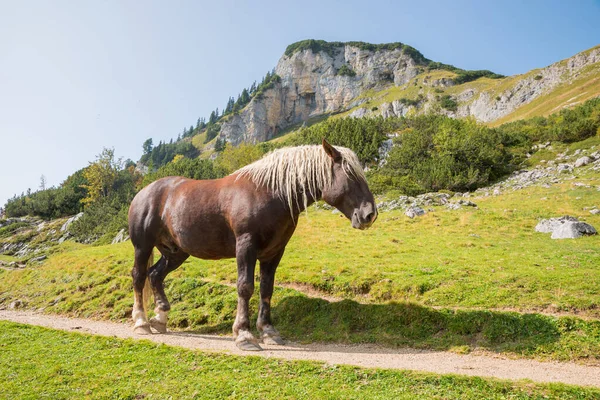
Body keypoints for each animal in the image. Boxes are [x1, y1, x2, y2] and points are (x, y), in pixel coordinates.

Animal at [129, 140, 378, 350]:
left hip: (175, 252)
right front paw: (244, 335)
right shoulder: (245, 246)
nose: (370, 214)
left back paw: (160, 319)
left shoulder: (274, 253)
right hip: (143, 246)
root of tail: (144, 193)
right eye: (349, 175)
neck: (269, 193)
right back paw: (141, 322)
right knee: (139, 276)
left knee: (155, 275)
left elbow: (266, 289)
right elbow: (245, 287)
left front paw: (268, 332)